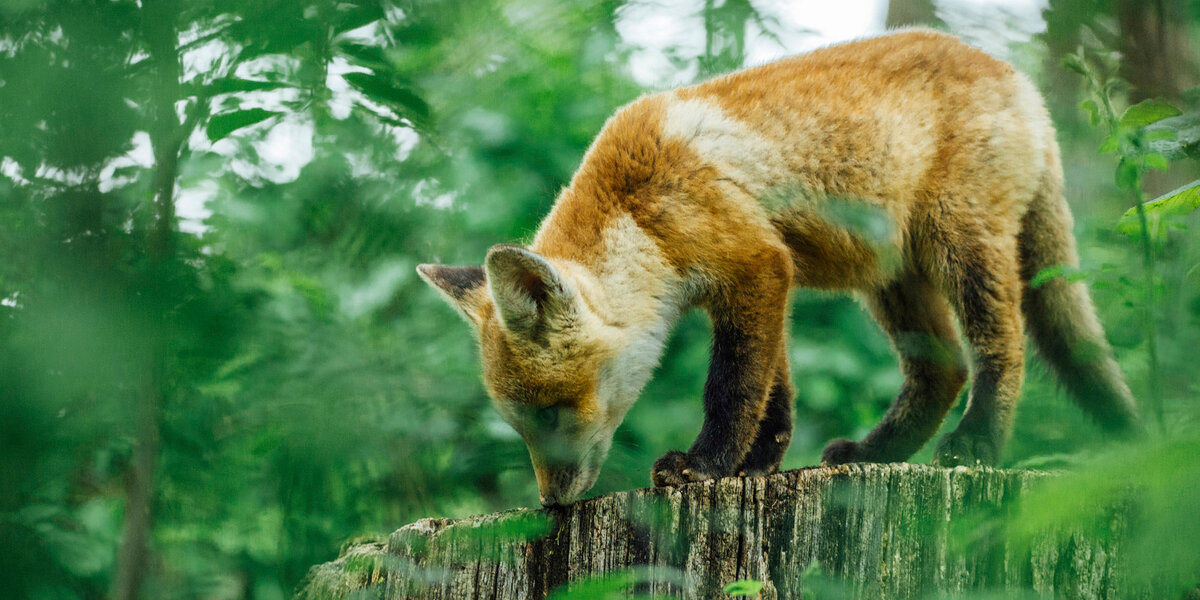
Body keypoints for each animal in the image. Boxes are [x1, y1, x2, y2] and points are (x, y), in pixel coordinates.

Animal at [417, 29, 1142, 507]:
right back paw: (876, 454)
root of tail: (1020, 81)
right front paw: (755, 466)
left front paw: (705, 465)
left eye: (550, 416)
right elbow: (776, 393)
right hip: (890, 277)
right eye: (522, 426)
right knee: (943, 369)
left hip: (959, 244)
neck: (638, 214)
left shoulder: (756, 266)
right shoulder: (760, 280)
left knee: (1001, 347)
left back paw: (976, 444)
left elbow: (734, 387)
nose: (550, 504)